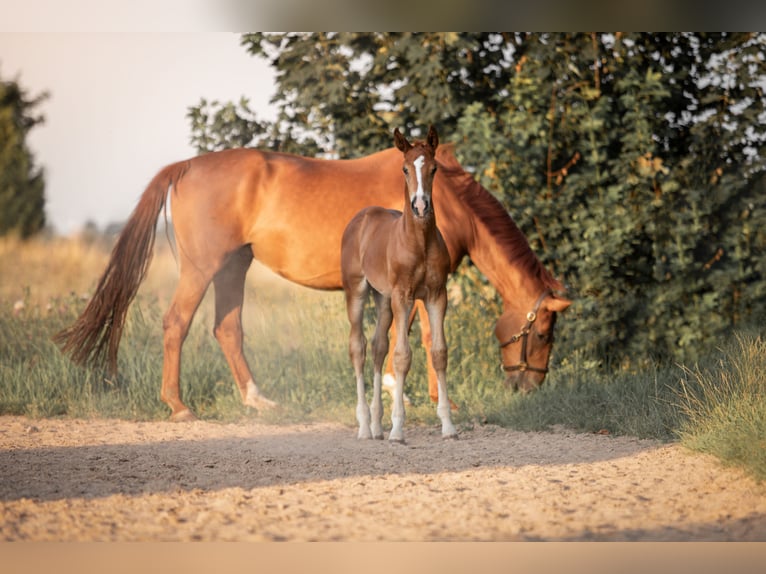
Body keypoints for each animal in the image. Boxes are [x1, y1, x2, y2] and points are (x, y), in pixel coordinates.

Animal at [55, 139, 568, 420]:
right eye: (544, 333)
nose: (529, 388)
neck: (443, 199)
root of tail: (184, 167)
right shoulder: (417, 286)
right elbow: (417, 337)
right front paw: (426, 398)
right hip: (203, 268)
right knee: (176, 324)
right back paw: (179, 406)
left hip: (234, 266)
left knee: (227, 328)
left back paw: (259, 402)